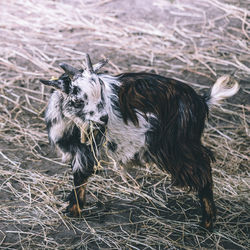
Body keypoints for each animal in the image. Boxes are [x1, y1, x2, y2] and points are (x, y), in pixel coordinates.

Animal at [40, 54, 239, 230]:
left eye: (101, 93)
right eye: (79, 100)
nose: (104, 118)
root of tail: (200, 102)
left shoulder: (86, 150)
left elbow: (80, 177)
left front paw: (73, 211)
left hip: (178, 146)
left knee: (203, 168)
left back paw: (207, 223)